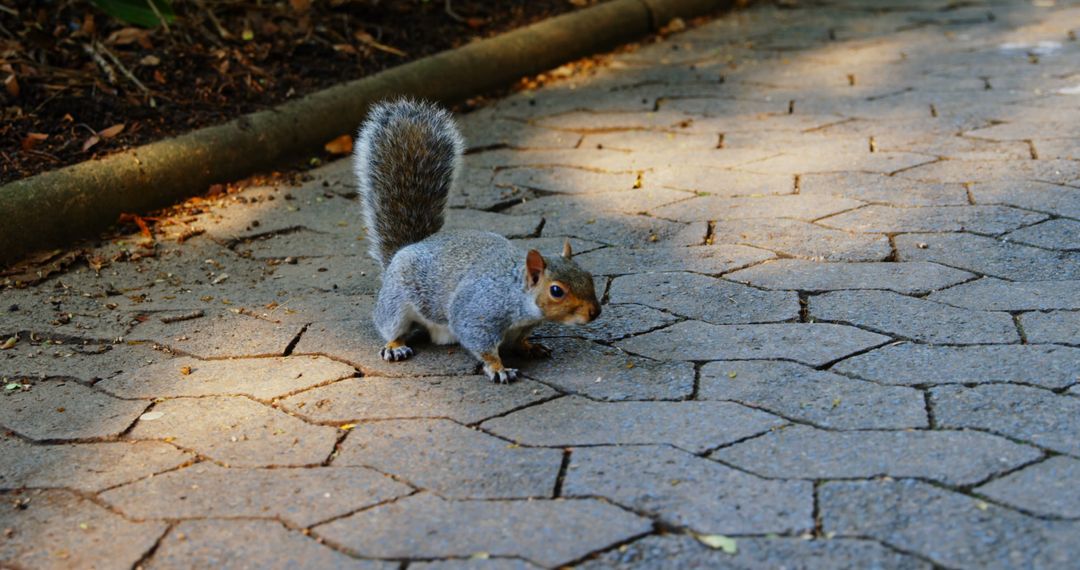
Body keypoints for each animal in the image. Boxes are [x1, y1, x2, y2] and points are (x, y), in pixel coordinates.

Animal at [353, 99, 602, 383]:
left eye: (588, 276)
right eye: (556, 291)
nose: (595, 312)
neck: (516, 293)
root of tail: (403, 250)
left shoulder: (520, 327)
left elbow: (519, 341)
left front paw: (529, 347)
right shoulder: (478, 313)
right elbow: (480, 343)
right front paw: (498, 368)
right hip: (395, 300)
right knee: (390, 325)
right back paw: (395, 345)